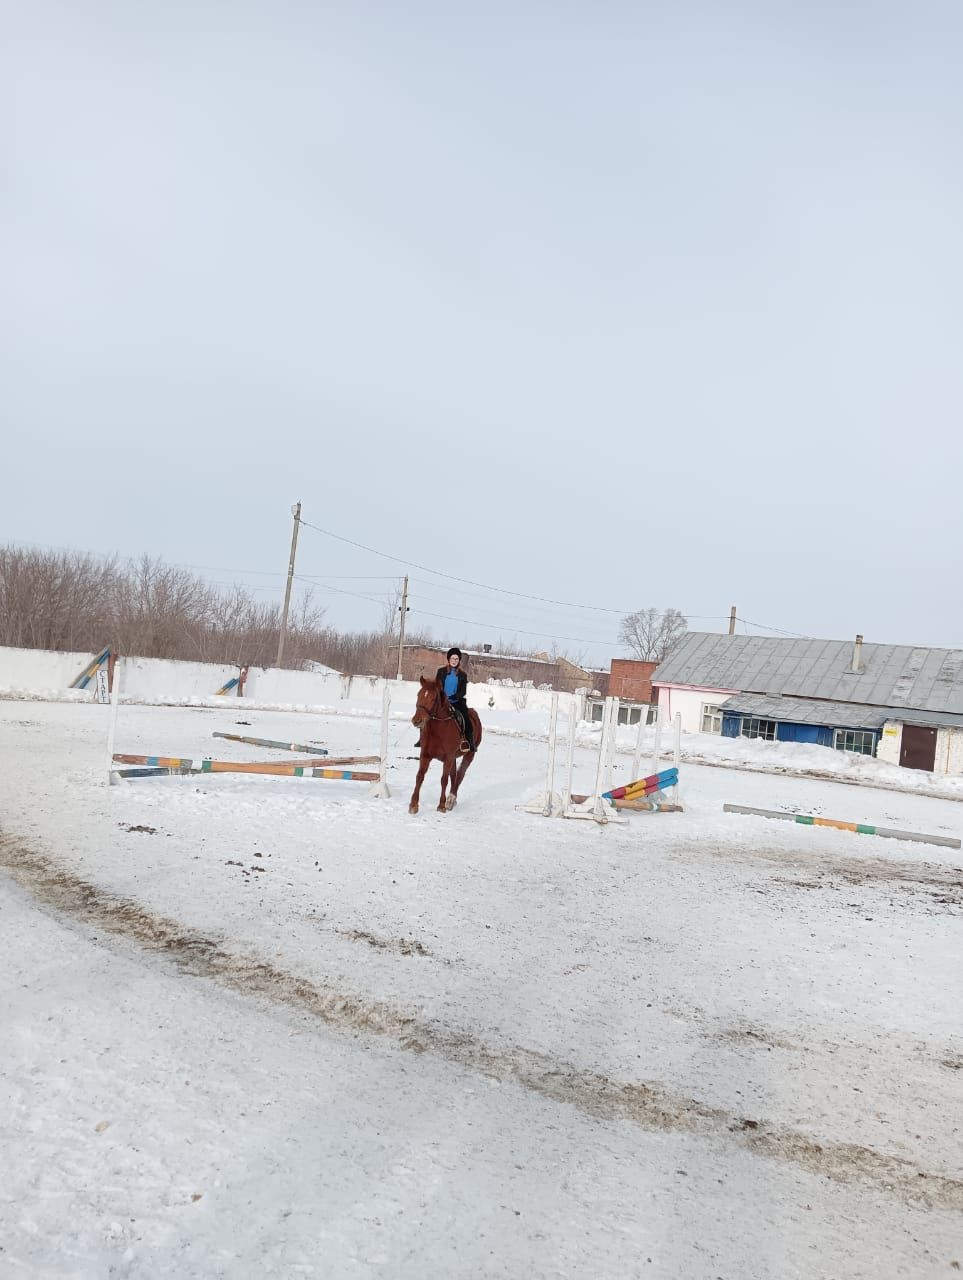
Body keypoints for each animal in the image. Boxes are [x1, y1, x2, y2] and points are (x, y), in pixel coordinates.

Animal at [407, 675, 481, 814]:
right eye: (418, 695)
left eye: (433, 698)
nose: (417, 721)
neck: (438, 730)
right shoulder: (425, 755)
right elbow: (420, 776)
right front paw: (413, 805)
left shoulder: (448, 758)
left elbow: (443, 780)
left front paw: (441, 805)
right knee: (454, 775)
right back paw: (451, 800)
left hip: (468, 755)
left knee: (460, 776)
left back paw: (451, 799)